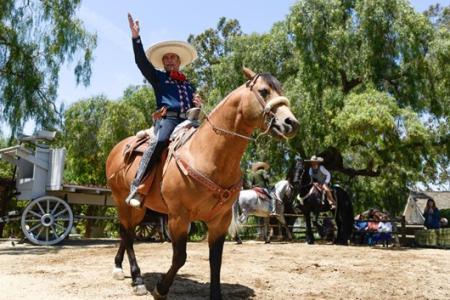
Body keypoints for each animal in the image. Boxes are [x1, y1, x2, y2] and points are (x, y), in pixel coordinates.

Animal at [105, 68, 298, 300]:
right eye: (263, 91)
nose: (291, 123)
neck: (208, 154)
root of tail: (118, 148)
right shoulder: (179, 217)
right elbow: (180, 257)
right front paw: (161, 289)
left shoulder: (220, 220)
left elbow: (216, 260)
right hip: (122, 201)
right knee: (127, 233)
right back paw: (137, 279)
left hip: (139, 208)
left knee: (128, 233)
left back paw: (120, 268)